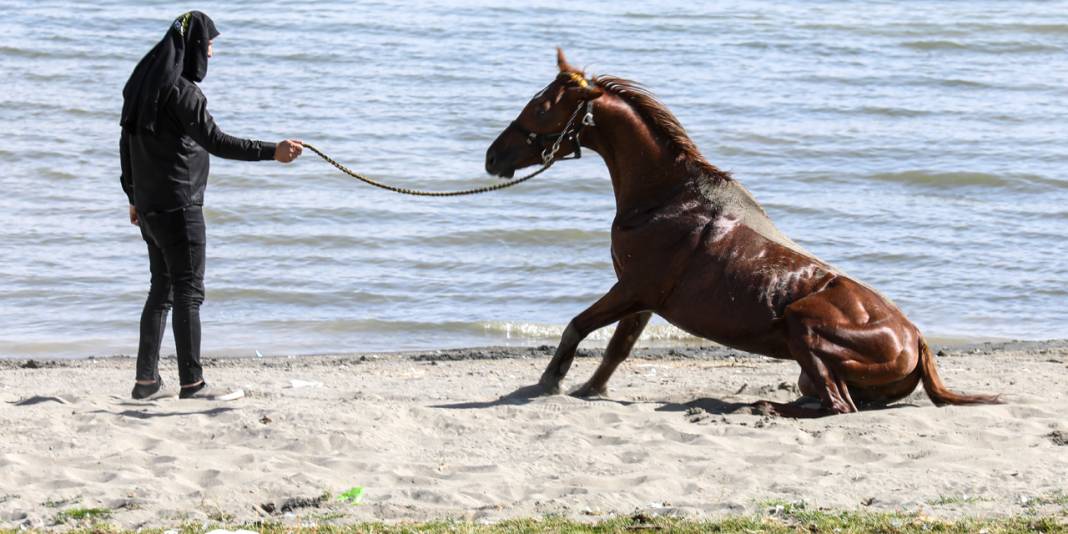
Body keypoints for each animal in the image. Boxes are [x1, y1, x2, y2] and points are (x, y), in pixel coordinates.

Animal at [487, 50, 999, 416]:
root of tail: (916, 340)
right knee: (827, 398)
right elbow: (617, 348)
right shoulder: (642, 299)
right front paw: (587, 390)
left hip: (803, 326)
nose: (492, 157)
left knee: (838, 405)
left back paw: (761, 406)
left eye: (541, 108)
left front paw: (547, 383)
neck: (665, 197)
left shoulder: (633, 289)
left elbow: (578, 326)